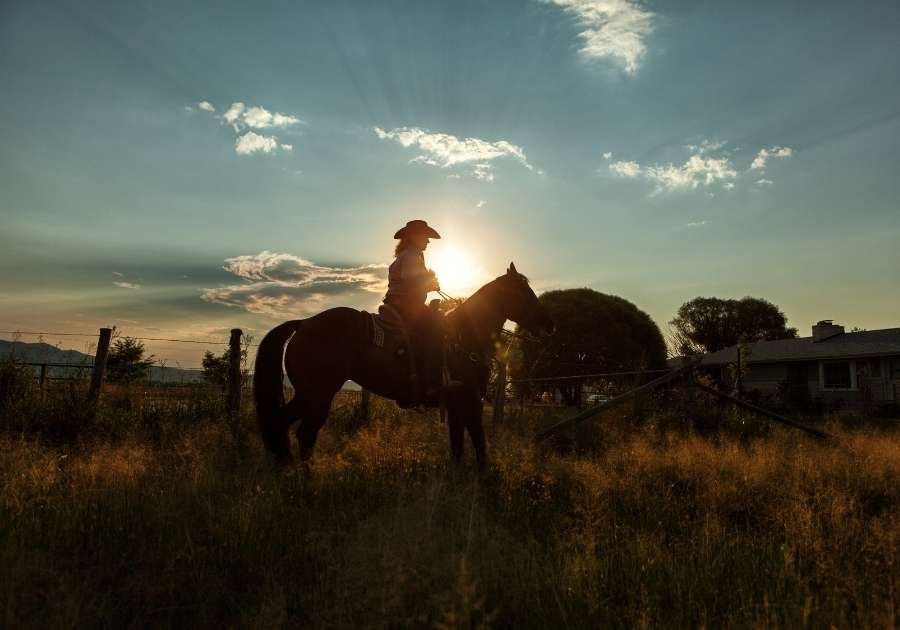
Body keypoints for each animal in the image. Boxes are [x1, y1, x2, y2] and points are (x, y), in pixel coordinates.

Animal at [250, 262, 552, 470]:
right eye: (524, 292)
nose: (550, 325)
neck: (464, 336)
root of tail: (303, 324)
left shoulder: (456, 405)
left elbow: (457, 445)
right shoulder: (470, 401)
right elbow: (479, 442)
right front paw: (484, 479)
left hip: (314, 396)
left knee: (295, 431)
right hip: (316, 395)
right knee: (296, 430)